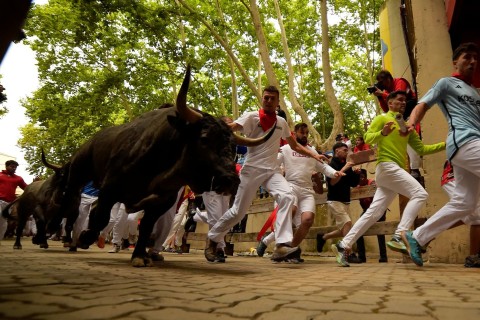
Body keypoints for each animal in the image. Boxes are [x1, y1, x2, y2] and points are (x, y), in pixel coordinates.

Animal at [60, 66, 276, 266]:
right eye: (204, 138)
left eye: (232, 147)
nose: (230, 180)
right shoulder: (110, 187)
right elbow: (103, 217)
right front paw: (87, 237)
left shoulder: (163, 201)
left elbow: (146, 227)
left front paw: (140, 255)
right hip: (78, 173)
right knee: (75, 207)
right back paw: (71, 238)